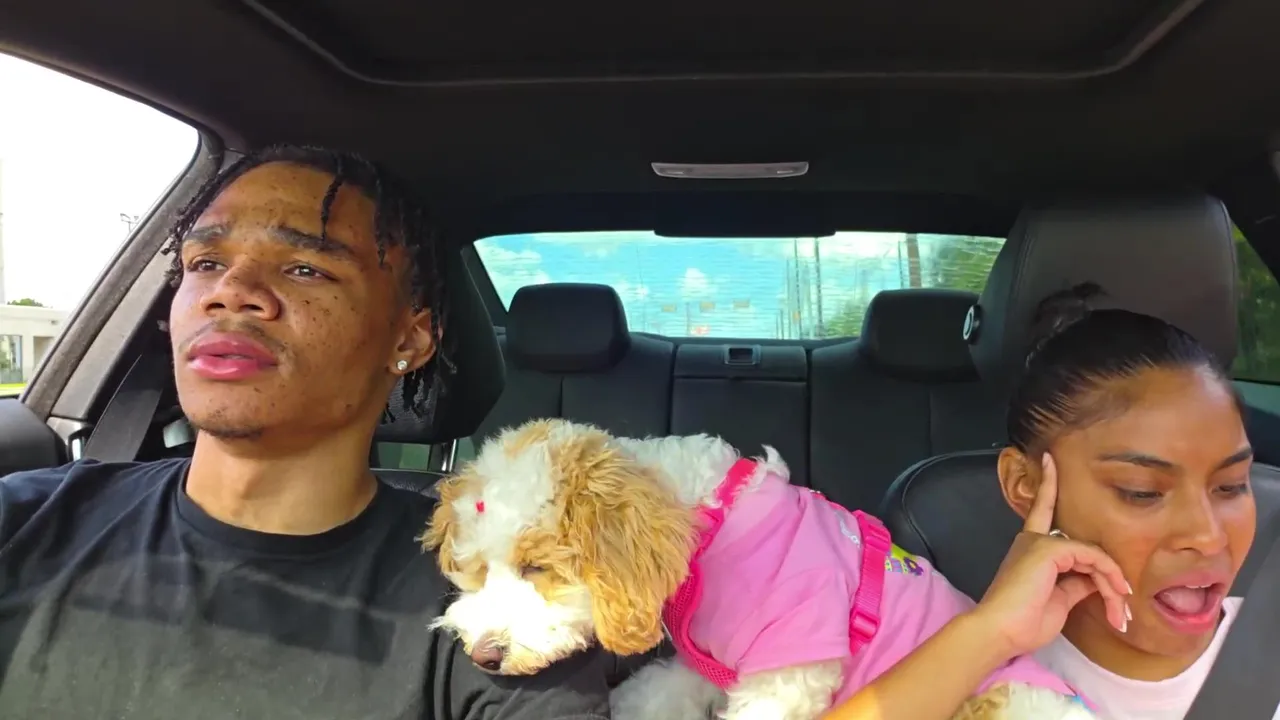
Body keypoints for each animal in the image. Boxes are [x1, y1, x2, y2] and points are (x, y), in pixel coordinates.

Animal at [423, 419, 1094, 720]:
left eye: (537, 565)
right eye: (475, 570)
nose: (483, 655)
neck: (712, 523)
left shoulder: (788, 674)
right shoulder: (708, 666)